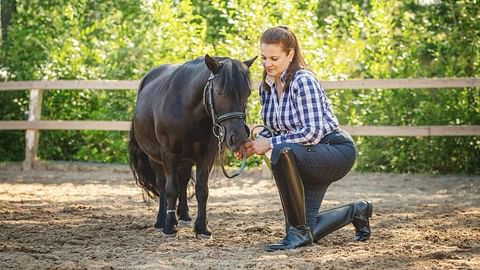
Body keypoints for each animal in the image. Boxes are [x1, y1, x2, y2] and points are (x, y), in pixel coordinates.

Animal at [126, 55, 255, 238]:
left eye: (247, 93)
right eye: (219, 92)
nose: (238, 138)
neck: (187, 109)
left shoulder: (207, 155)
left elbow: (202, 189)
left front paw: (201, 227)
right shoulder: (168, 153)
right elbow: (171, 188)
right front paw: (170, 225)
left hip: (186, 159)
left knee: (184, 181)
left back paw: (184, 215)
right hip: (155, 158)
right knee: (162, 184)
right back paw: (161, 220)